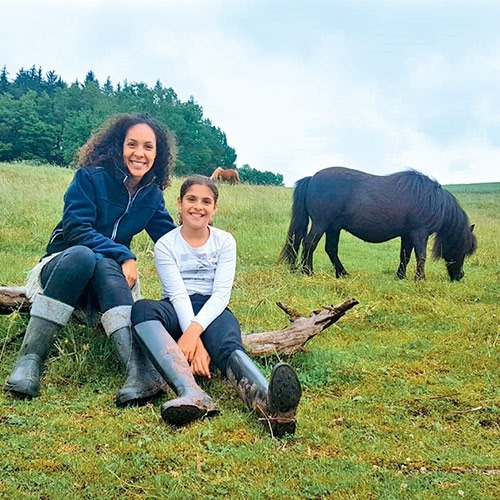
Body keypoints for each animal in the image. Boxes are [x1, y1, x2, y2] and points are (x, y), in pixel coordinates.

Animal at [280, 166, 478, 280]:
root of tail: (312, 178)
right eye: (463, 248)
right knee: (309, 243)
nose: (460, 276)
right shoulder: (419, 233)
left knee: (330, 249)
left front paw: (400, 277)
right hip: (321, 224)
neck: (433, 201)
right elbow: (421, 256)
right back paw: (308, 271)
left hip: (333, 227)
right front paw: (420, 278)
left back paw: (342, 274)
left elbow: (405, 256)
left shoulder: (407, 235)